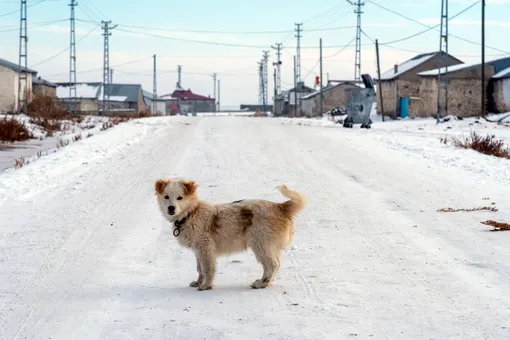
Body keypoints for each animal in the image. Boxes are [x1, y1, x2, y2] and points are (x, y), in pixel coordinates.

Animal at [154, 179, 306, 290]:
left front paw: (206, 285)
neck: (190, 214)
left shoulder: (205, 248)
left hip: (261, 244)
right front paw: (198, 282)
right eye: (166, 197)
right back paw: (264, 281)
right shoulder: (198, 250)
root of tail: (280, 207)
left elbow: (207, 269)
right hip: (266, 245)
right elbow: (200, 269)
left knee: (272, 264)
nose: (171, 208)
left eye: (180, 198)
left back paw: (263, 283)